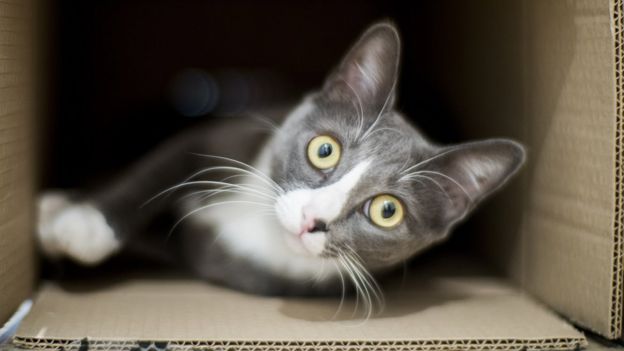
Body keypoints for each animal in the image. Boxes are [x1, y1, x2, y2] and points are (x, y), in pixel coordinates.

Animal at [36, 22, 524, 308]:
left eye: (388, 210)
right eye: (324, 150)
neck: (259, 221)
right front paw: (81, 223)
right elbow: (153, 171)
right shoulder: (216, 139)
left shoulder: (221, 261)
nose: (312, 220)